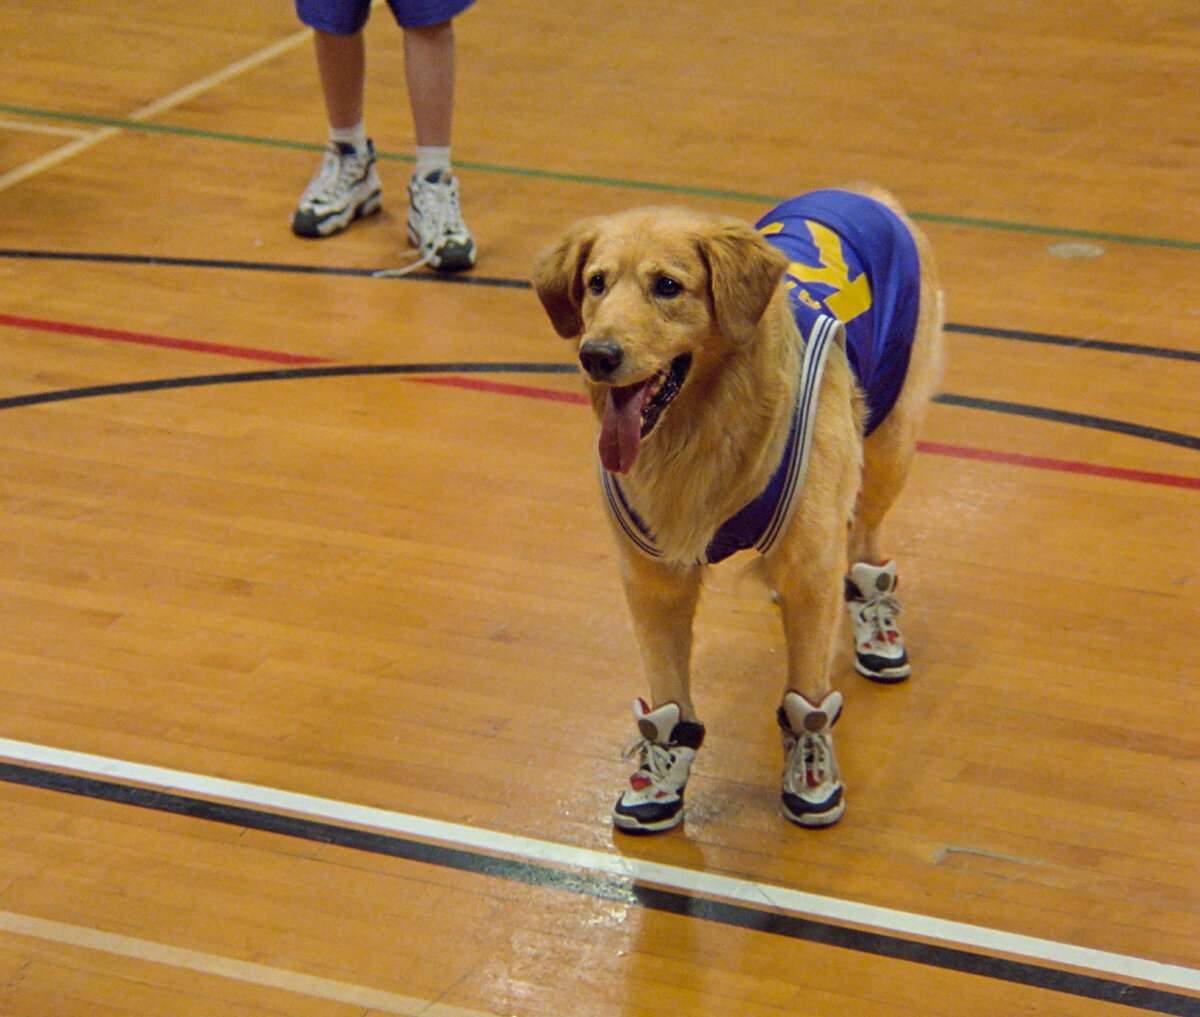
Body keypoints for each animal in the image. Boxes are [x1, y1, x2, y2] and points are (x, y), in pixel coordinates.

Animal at [532, 184, 936, 834]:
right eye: (596, 283)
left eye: (667, 286)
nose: (597, 354)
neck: (701, 428)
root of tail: (862, 193)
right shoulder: (654, 577)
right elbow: (669, 698)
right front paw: (660, 782)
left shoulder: (808, 568)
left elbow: (807, 697)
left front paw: (810, 774)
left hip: (889, 448)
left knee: (865, 543)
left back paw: (877, 626)